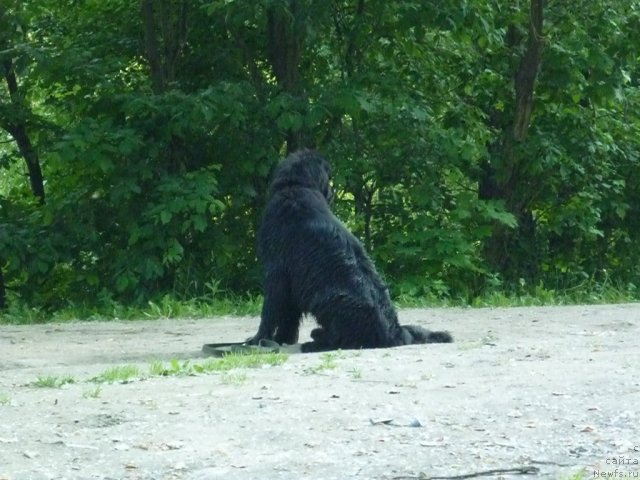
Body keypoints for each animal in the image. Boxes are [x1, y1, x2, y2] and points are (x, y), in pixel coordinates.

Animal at [248, 150, 452, 352]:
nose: (333, 192)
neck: (296, 186)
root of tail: (395, 332)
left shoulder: (276, 272)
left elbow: (269, 313)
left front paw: (258, 340)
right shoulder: (292, 277)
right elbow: (289, 318)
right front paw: (282, 339)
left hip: (328, 298)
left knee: (345, 341)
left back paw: (315, 342)